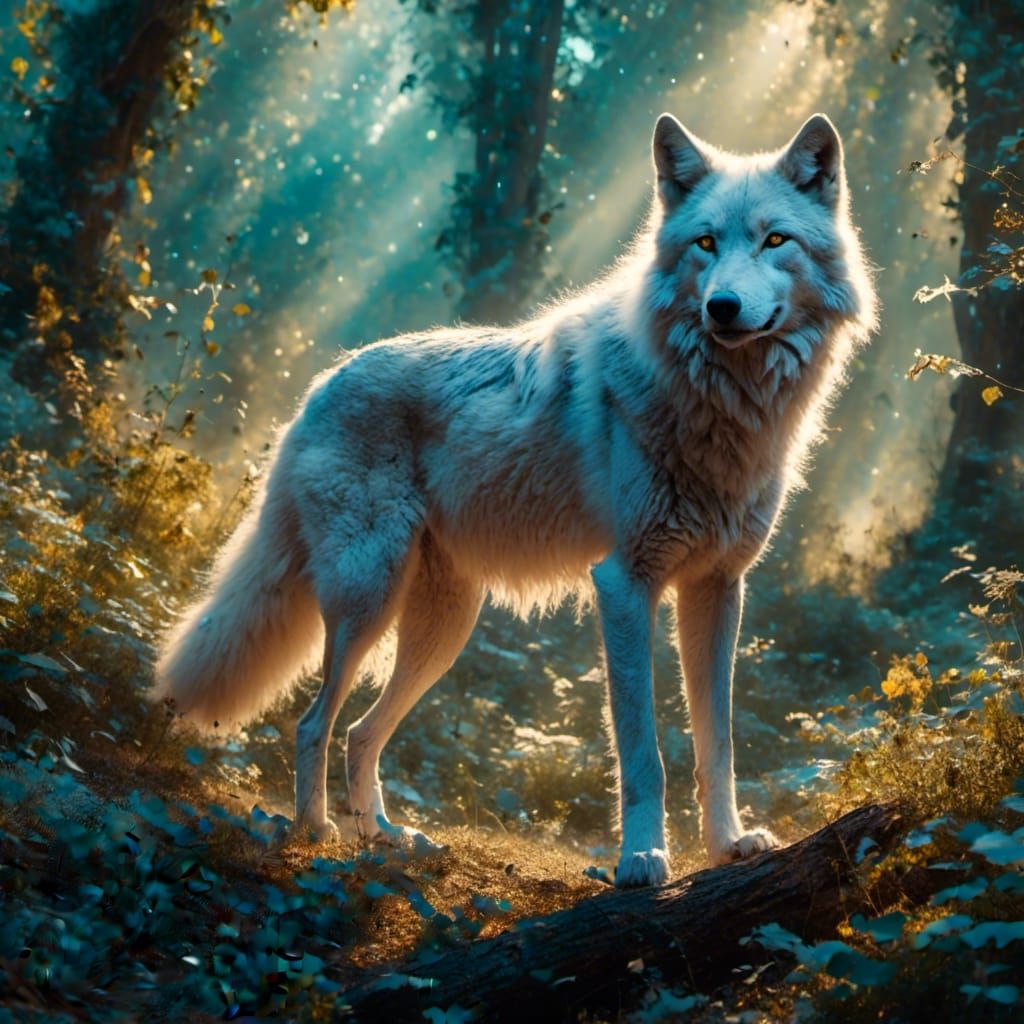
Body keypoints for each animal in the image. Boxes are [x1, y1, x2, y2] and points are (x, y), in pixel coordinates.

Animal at [154, 112, 875, 887]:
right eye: (705, 243)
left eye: (776, 240)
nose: (723, 307)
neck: (722, 408)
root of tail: (317, 387)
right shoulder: (625, 584)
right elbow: (643, 751)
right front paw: (642, 858)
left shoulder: (717, 589)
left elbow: (719, 744)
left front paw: (727, 846)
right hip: (368, 600)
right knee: (314, 722)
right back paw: (314, 832)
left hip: (443, 629)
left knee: (359, 732)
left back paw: (385, 836)